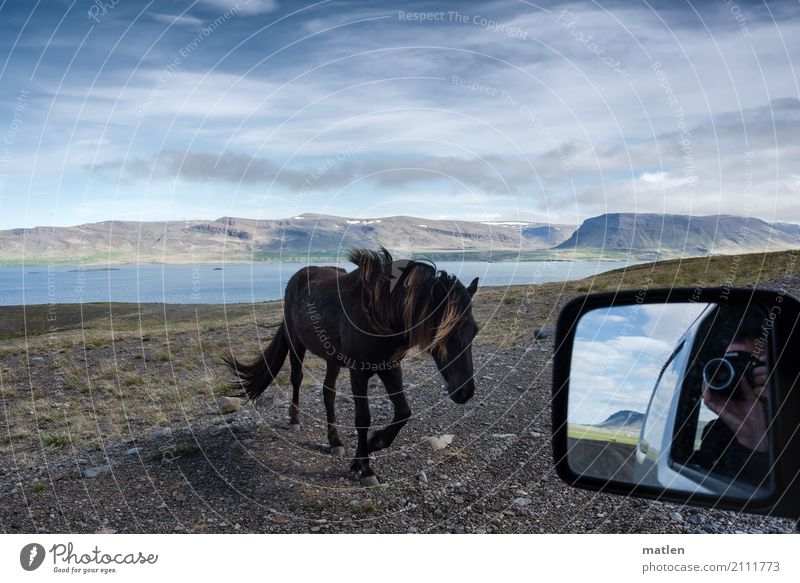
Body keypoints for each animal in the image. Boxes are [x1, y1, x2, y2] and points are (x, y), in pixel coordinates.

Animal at [222, 245, 478, 484]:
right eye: (443, 332)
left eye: (474, 331)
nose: (465, 392)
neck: (380, 313)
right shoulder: (358, 372)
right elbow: (363, 418)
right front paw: (365, 467)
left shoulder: (391, 368)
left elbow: (404, 411)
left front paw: (375, 444)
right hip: (296, 344)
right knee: (297, 379)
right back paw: (295, 420)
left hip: (332, 359)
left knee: (329, 392)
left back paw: (335, 440)